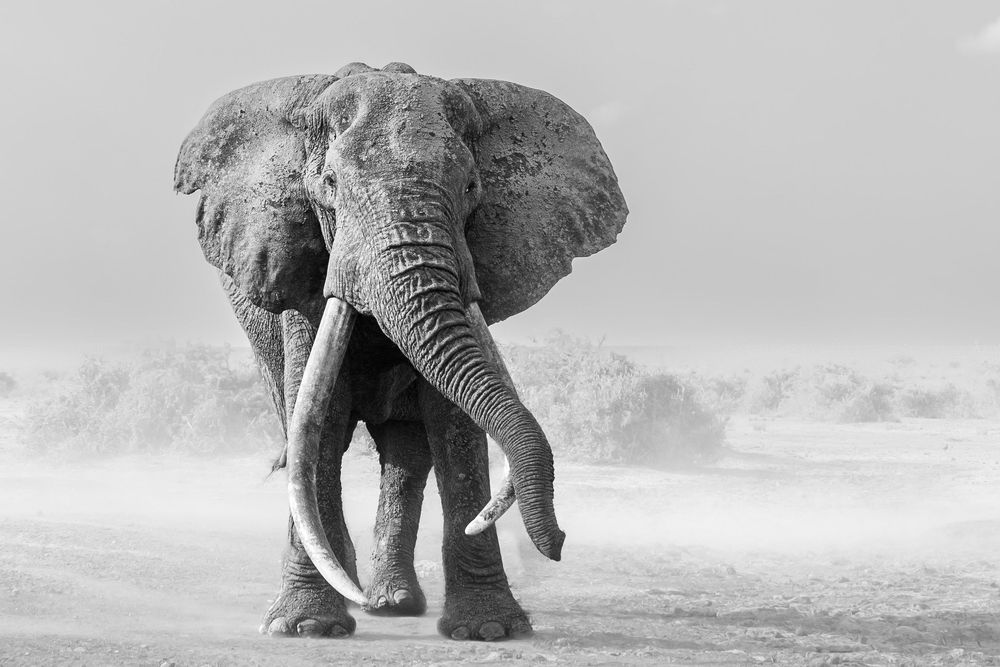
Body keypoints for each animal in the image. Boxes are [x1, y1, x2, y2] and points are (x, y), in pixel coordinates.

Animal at [173, 61, 627, 640]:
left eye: (472, 187)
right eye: (328, 185)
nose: (561, 543)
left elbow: (453, 420)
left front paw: (488, 630)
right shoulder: (299, 267)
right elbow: (319, 417)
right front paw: (305, 627)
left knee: (406, 449)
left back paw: (391, 602)